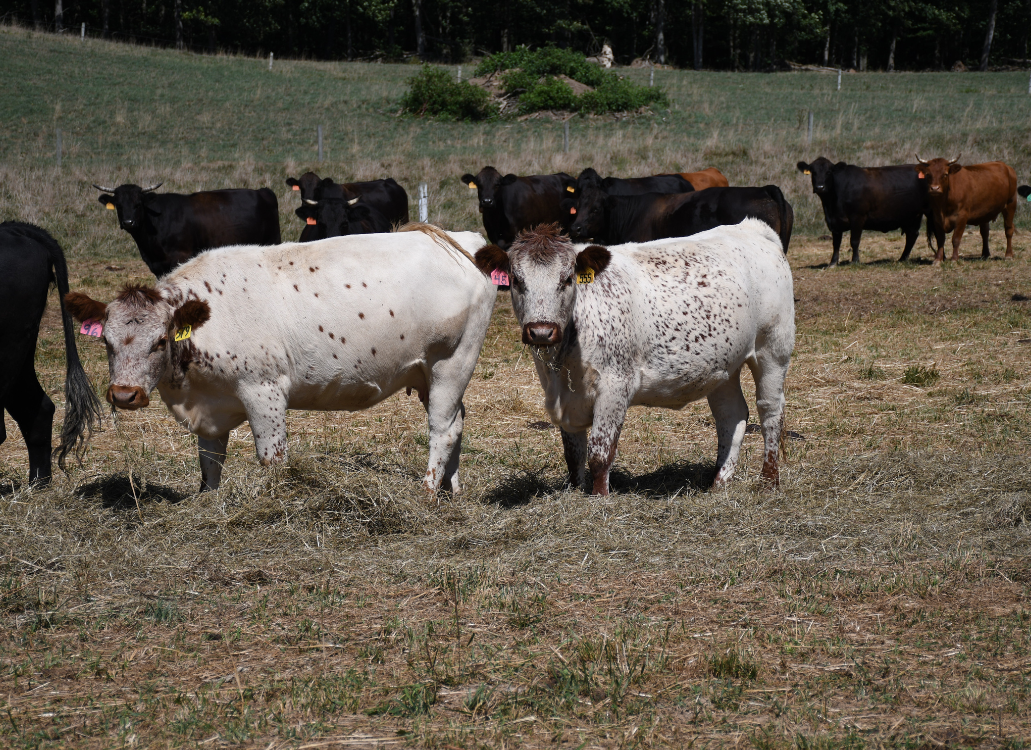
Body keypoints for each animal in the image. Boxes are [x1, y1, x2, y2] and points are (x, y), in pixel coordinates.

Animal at [64, 224, 495, 494]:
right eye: (106, 341)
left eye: (159, 341)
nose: (124, 394)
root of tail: (461, 240)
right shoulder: (210, 404)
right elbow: (210, 460)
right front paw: (208, 502)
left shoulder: (263, 390)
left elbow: (272, 457)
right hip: (429, 376)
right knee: (458, 422)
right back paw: (450, 490)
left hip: (451, 364)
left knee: (443, 430)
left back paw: (427, 491)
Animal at [93, 183, 282, 277]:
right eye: (118, 205)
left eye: (138, 203)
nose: (128, 222)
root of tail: (262, 191)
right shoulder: (157, 266)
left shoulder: (181, 258)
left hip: (272, 241)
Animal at [473, 221, 794, 495]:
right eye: (517, 280)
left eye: (566, 279)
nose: (541, 331)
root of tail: (752, 227)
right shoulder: (563, 396)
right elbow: (573, 454)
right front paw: (574, 492)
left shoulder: (616, 385)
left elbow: (600, 452)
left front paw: (598, 498)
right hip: (724, 366)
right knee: (731, 415)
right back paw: (719, 482)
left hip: (772, 350)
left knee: (770, 411)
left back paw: (768, 480)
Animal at [796, 157, 928, 267]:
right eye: (813, 172)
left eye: (829, 172)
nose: (820, 187)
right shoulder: (835, 221)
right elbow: (836, 243)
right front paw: (833, 262)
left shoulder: (857, 217)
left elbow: (854, 241)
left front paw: (855, 261)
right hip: (913, 216)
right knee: (912, 235)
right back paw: (902, 259)